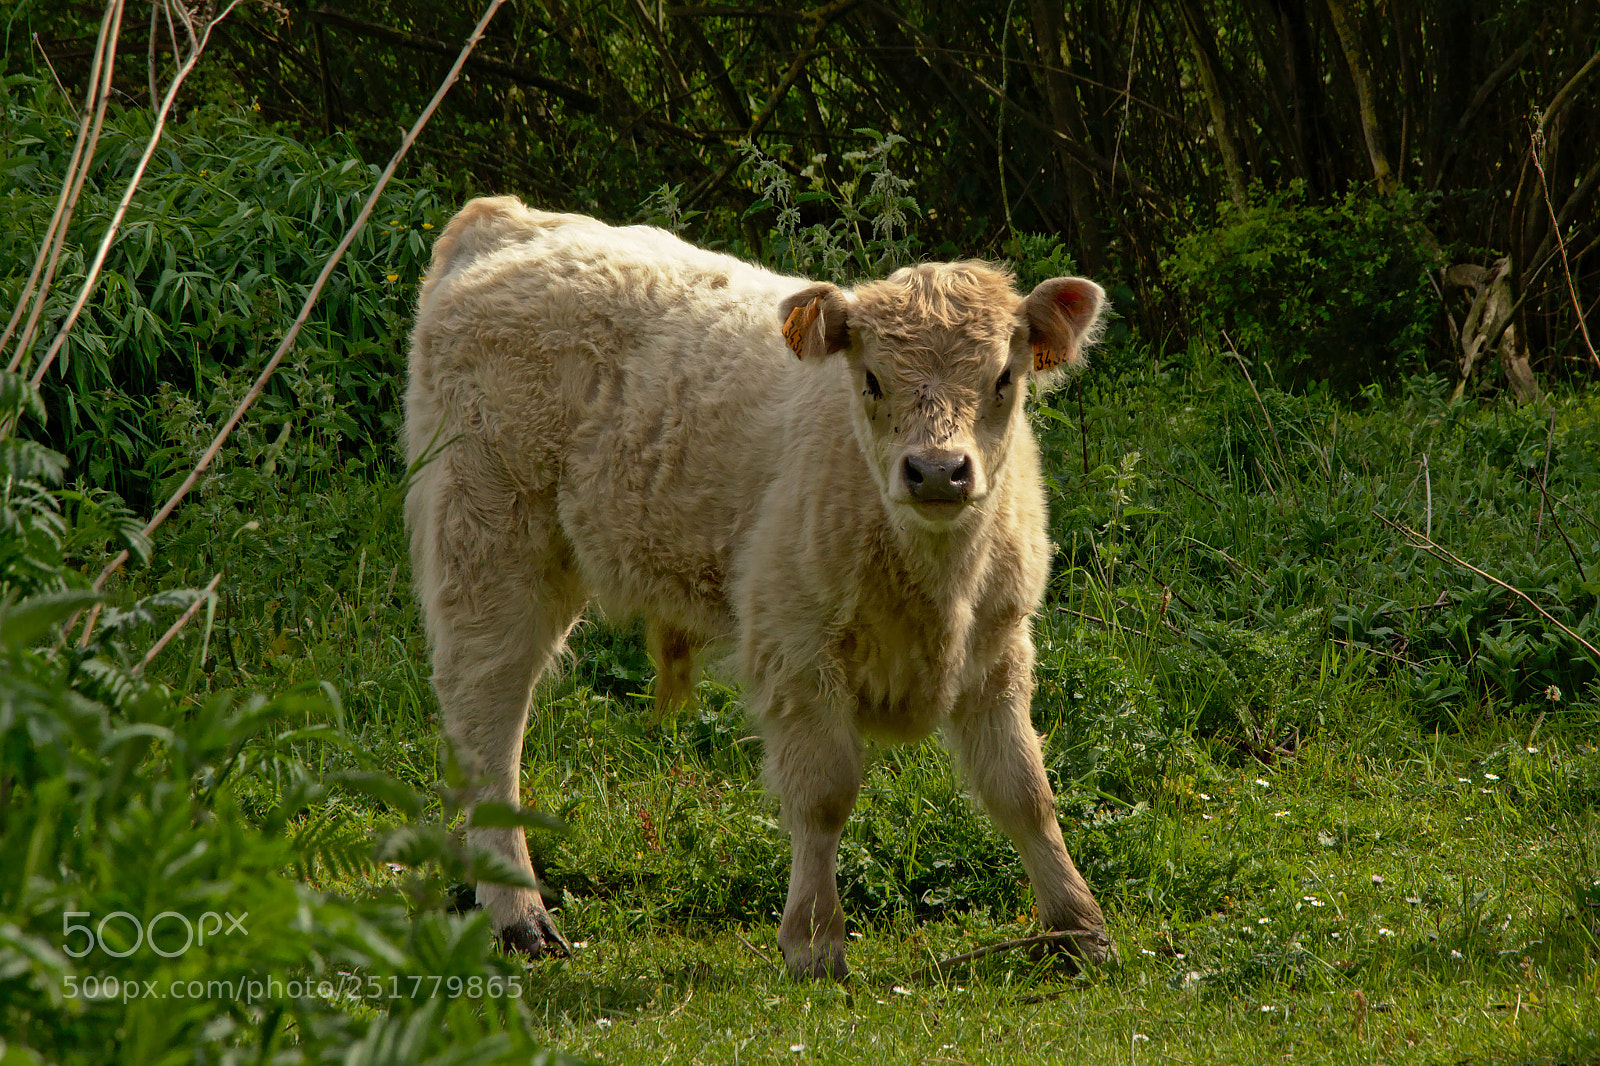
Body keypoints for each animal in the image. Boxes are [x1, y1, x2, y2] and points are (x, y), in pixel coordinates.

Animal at [405, 196, 1110, 978]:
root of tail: (506, 220)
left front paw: (1078, 925)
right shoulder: (795, 644)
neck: (936, 585)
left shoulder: (999, 647)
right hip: (491, 539)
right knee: (488, 712)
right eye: (872, 380)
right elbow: (824, 795)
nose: (936, 471)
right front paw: (814, 940)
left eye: (1002, 379)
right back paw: (519, 914)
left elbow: (1023, 790)